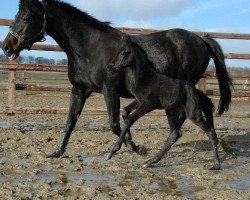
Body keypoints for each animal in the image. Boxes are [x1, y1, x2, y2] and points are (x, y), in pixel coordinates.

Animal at [106, 35, 220, 170]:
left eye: (124, 53)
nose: (110, 67)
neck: (144, 78)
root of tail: (194, 90)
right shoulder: (140, 101)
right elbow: (125, 112)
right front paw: (132, 145)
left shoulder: (148, 104)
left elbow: (129, 120)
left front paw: (112, 151)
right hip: (170, 110)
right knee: (175, 133)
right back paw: (150, 161)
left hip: (193, 114)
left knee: (210, 132)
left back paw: (216, 165)